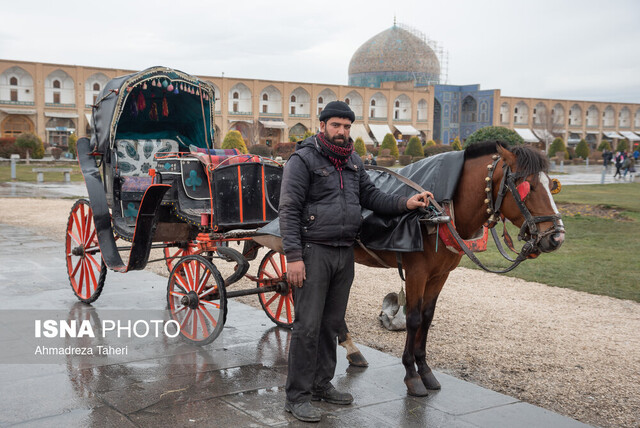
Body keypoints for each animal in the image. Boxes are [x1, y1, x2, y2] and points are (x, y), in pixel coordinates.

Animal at [342, 142, 564, 396]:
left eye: (551, 185)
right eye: (529, 186)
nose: (557, 237)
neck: (442, 211)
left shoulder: (440, 274)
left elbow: (427, 317)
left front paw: (424, 369)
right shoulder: (416, 273)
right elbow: (413, 318)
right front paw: (411, 373)